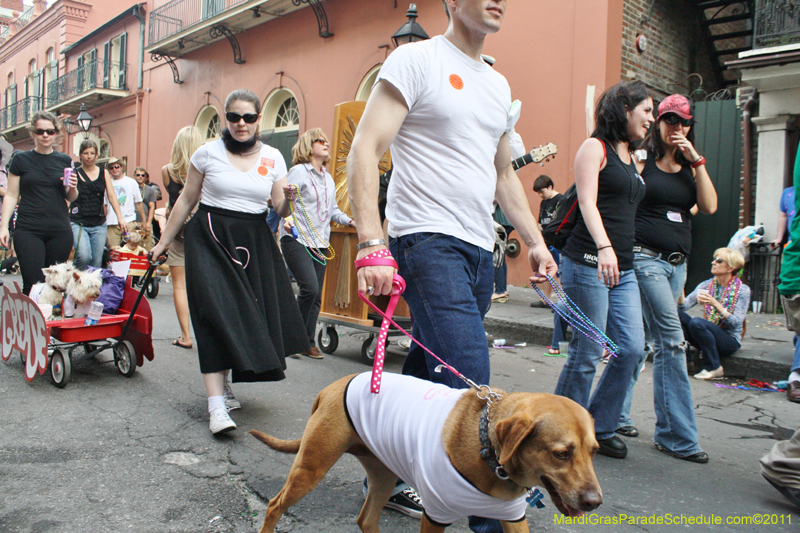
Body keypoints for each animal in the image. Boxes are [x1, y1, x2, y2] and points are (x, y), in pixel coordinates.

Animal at [250, 372, 600, 528]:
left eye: (593, 451)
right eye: (561, 453)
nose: (594, 502)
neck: (488, 452)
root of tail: (336, 385)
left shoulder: (514, 518)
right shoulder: (437, 516)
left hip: (382, 475)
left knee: (366, 519)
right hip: (311, 468)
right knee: (274, 506)